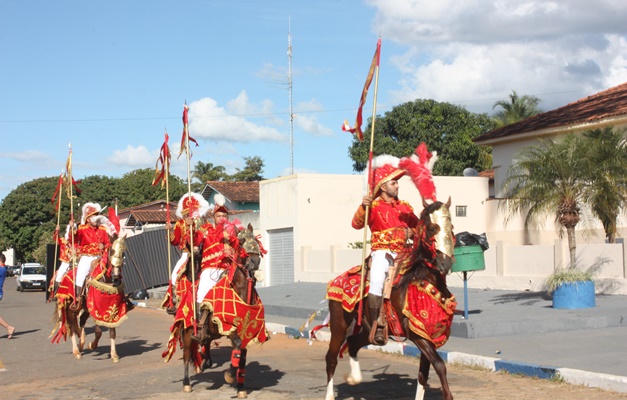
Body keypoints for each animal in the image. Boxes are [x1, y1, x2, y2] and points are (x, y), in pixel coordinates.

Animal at [51, 236, 130, 364]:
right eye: (111, 252)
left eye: (123, 254)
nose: (116, 278)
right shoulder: (96, 309)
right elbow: (98, 331)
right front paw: (92, 345)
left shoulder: (112, 310)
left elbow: (112, 332)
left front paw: (114, 354)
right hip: (71, 309)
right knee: (71, 327)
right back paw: (76, 351)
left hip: (84, 308)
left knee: (81, 321)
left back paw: (81, 344)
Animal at [175, 223, 268, 398]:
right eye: (241, 242)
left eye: (256, 241)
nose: (254, 261)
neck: (241, 292)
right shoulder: (228, 327)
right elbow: (237, 349)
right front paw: (230, 375)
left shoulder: (245, 332)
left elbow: (241, 357)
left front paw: (240, 387)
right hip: (188, 332)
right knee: (186, 355)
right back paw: (186, 383)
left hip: (209, 333)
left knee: (205, 342)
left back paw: (205, 362)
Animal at [324, 200, 456, 400]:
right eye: (433, 228)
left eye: (451, 227)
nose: (445, 264)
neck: (422, 278)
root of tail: (336, 280)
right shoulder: (417, 335)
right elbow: (440, 366)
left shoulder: (428, 334)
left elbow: (423, 374)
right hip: (339, 325)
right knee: (331, 358)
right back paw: (330, 394)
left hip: (369, 330)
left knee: (353, 343)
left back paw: (354, 378)